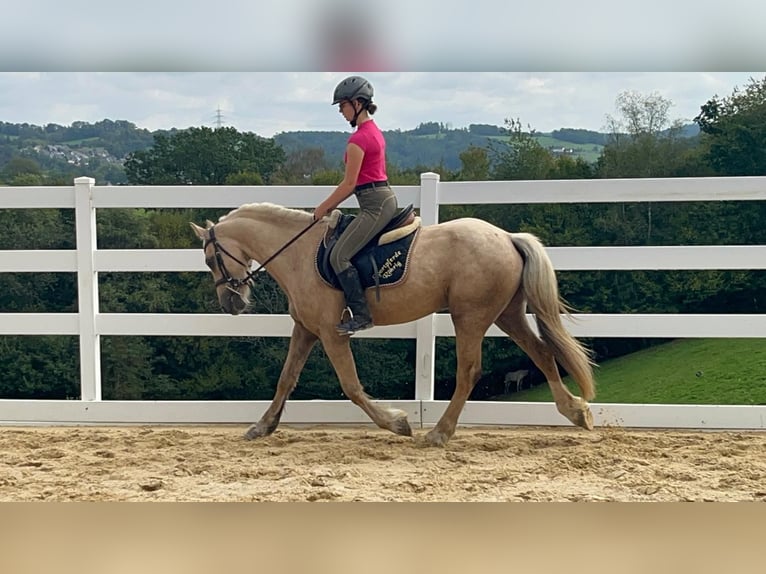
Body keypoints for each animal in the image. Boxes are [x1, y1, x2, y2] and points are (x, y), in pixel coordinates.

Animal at [190, 202, 595, 446]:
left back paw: (439, 433)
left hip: (471, 317)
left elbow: (351, 386)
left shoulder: (331, 333)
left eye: (210, 259)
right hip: (506, 314)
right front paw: (262, 426)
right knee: (542, 354)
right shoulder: (305, 330)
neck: (298, 254)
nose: (231, 304)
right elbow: (286, 379)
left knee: (469, 371)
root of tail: (507, 237)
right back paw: (576, 412)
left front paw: (397, 423)